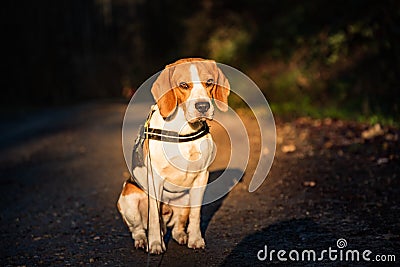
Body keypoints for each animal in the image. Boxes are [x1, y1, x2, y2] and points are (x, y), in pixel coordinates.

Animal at [117, 58, 230, 255]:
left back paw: (182, 236)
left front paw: (196, 239)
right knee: (138, 229)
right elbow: (154, 217)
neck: (184, 129)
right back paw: (142, 240)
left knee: (177, 226)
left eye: (209, 82)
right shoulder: (155, 179)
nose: (203, 106)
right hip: (128, 198)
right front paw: (155, 244)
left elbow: (195, 215)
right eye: (183, 85)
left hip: (184, 199)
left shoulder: (201, 177)